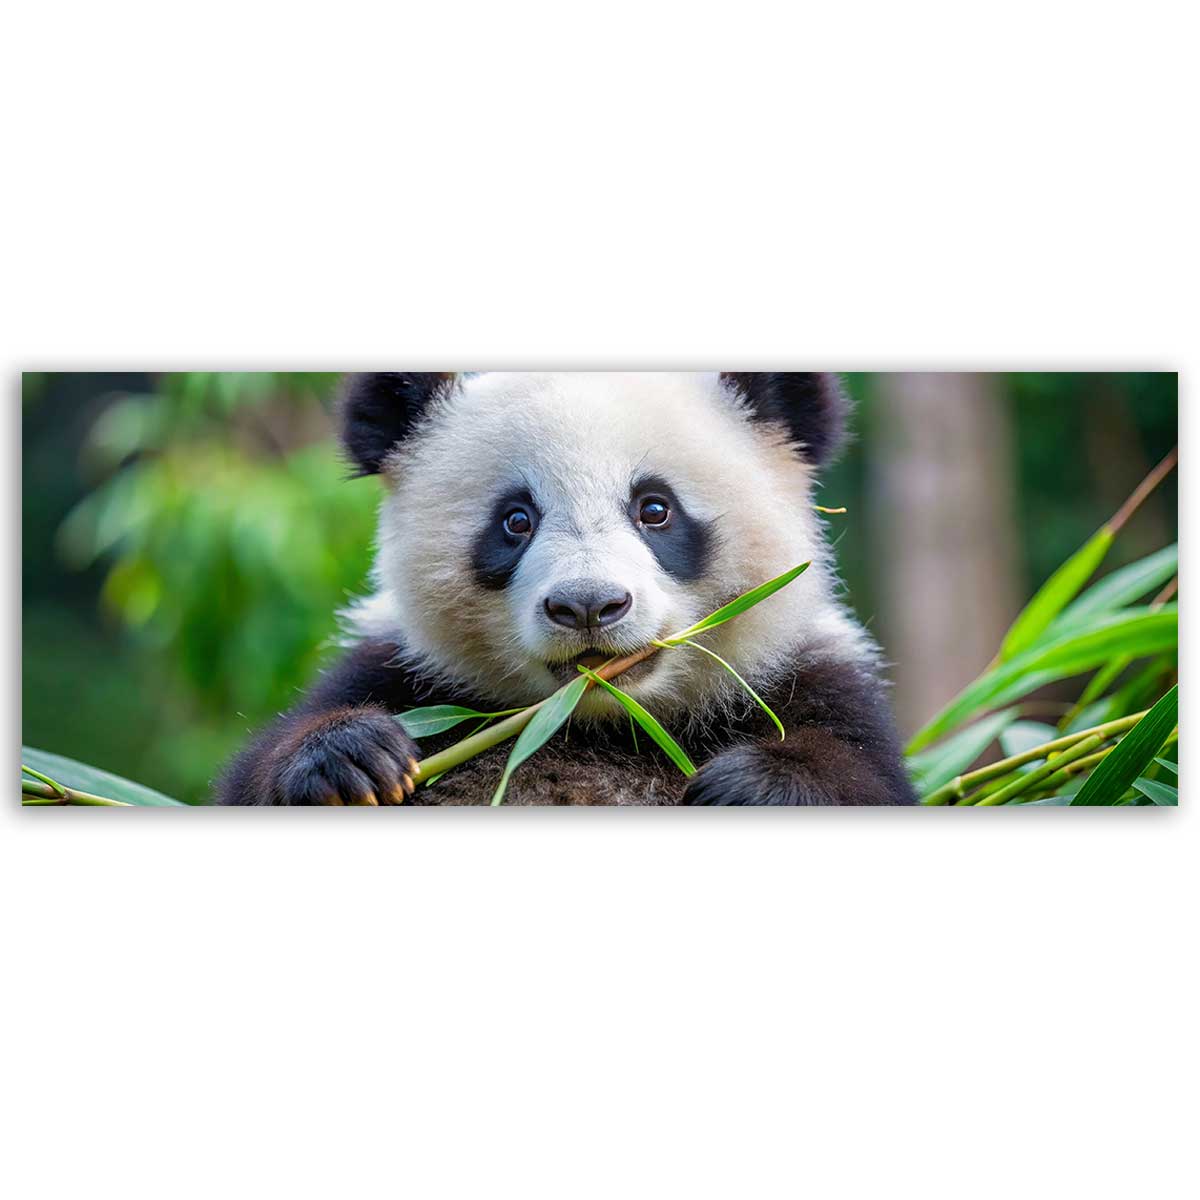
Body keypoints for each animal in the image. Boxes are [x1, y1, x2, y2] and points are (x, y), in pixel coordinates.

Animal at [217, 372, 915, 806]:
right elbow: (256, 775)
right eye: (515, 521)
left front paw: (752, 785)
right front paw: (350, 757)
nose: (587, 606)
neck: (599, 722)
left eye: (655, 509)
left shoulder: (809, 681)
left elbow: (860, 777)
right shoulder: (404, 673)